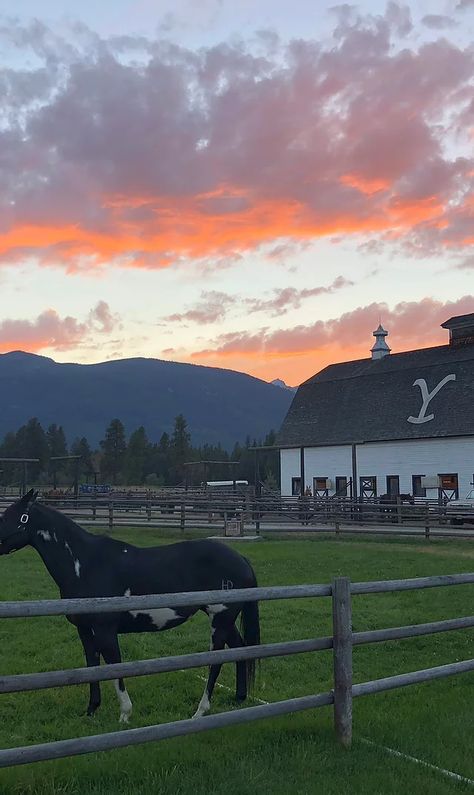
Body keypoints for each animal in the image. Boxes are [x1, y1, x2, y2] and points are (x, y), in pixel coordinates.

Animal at [0, 488, 260, 724]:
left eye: (9, 516)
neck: (85, 564)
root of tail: (241, 559)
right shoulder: (84, 630)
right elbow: (92, 666)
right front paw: (91, 710)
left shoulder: (105, 630)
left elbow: (115, 666)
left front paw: (125, 714)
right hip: (223, 619)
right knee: (240, 648)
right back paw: (238, 698)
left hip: (220, 620)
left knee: (216, 660)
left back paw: (200, 711)